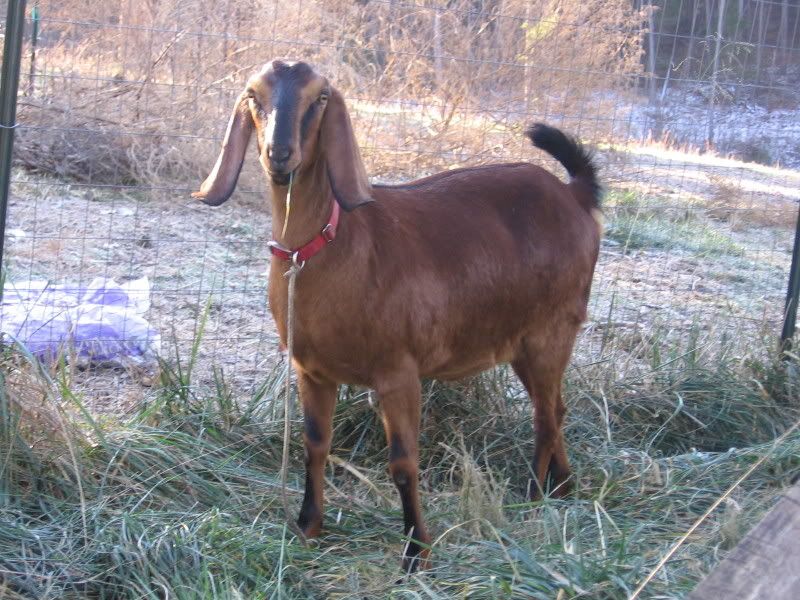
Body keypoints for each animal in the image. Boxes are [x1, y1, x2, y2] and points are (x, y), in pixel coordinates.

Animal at [193, 60, 602, 572]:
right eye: (254, 95)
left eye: (320, 98)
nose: (279, 153)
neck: (337, 245)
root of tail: (574, 195)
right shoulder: (313, 371)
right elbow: (314, 445)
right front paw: (308, 527)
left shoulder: (399, 372)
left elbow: (403, 463)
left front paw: (415, 551)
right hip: (523, 344)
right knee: (557, 407)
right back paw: (563, 487)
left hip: (552, 330)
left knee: (545, 416)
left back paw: (531, 498)